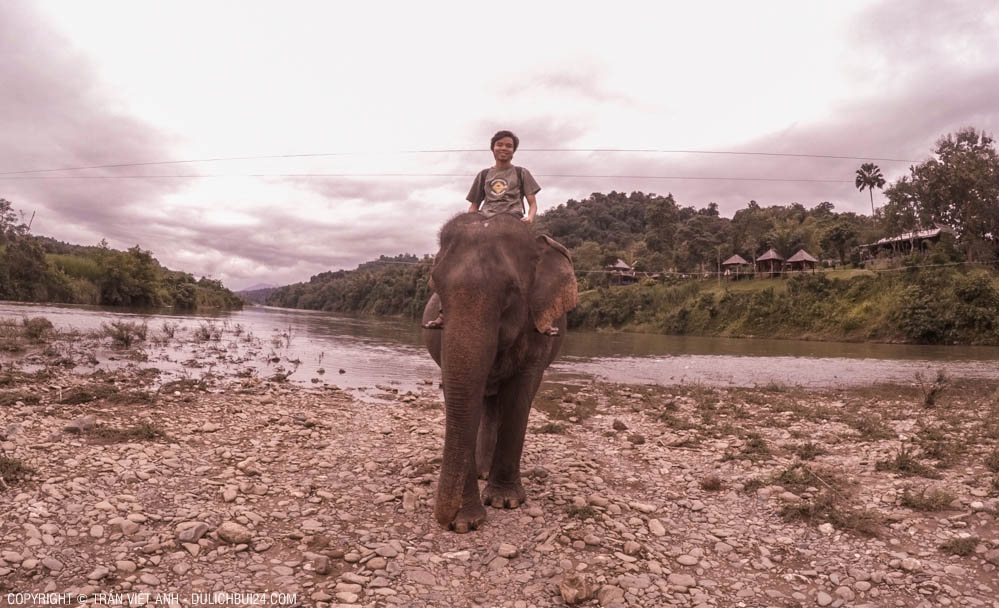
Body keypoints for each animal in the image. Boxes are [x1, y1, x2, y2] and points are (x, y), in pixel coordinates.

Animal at [422, 213, 580, 532]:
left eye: (511, 291)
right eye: (436, 286)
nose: (444, 519)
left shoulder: (537, 330)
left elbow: (519, 397)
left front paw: (504, 501)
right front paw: (466, 522)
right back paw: (482, 472)